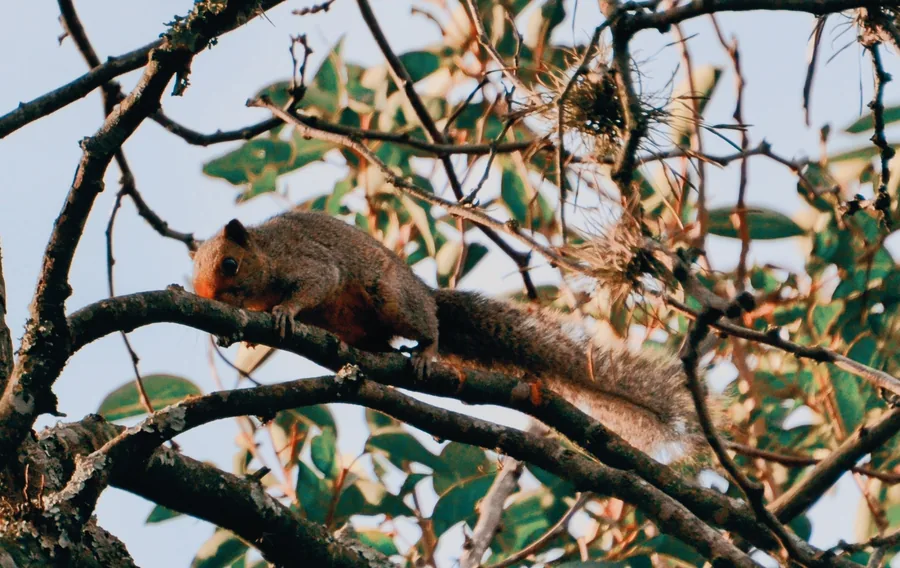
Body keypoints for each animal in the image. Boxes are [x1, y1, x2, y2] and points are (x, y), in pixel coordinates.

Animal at [191, 210, 708, 461]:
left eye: (230, 264)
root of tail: (426, 292)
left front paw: (284, 313)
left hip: (394, 299)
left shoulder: (308, 263)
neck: (265, 254)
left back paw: (427, 351)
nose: (208, 297)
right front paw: (242, 336)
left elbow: (314, 285)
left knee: (429, 326)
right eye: (194, 274)